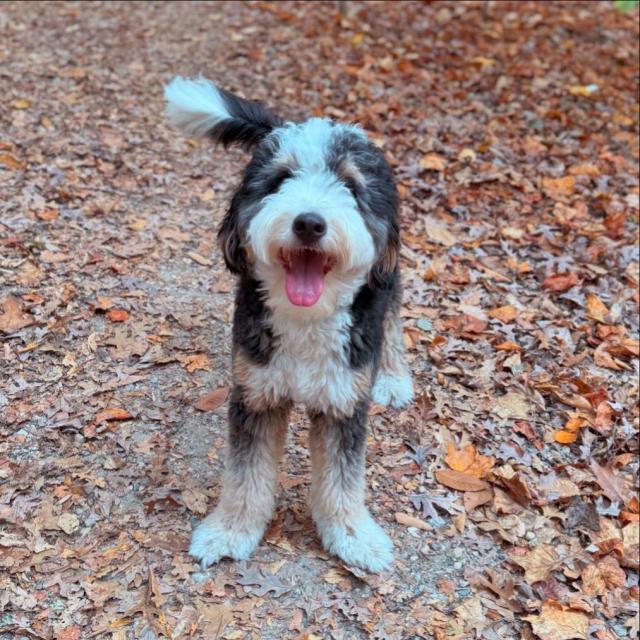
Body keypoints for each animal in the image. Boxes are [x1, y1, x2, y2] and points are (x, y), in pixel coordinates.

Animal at [165, 77, 412, 572]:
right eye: (280, 180)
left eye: (350, 186)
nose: (310, 223)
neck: (306, 320)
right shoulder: (255, 393)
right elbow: (246, 474)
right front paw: (230, 531)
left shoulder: (344, 400)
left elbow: (342, 480)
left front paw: (353, 535)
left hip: (388, 275)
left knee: (392, 319)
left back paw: (393, 376)